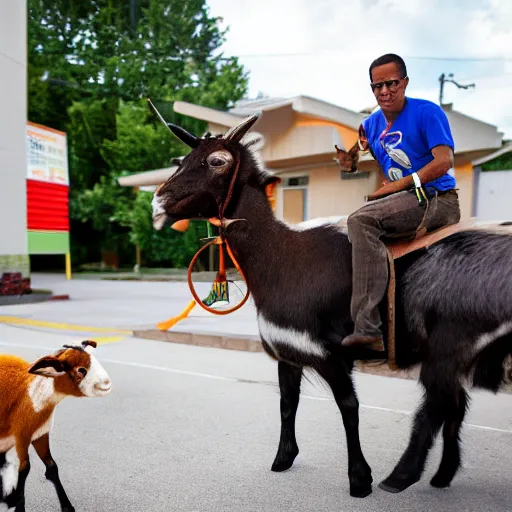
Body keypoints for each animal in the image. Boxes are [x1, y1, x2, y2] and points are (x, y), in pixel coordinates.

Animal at [0, 340, 111, 512]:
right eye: (81, 370)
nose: (106, 383)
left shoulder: (40, 435)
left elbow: (52, 467)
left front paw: (67, 507)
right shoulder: (21, 437)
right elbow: (25, 468)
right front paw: (17, 504)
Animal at [150, 111, 510, 496]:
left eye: (217, 161)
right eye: (182, 160)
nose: (157, 202)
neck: (282, 257)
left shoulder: (331, 354)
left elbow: (348, 407)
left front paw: (359, 479)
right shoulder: (288, 351)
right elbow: (287, 402)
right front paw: (283, 458)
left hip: (449, 344)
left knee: (438, 405)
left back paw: (401, 475)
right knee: (453, 406)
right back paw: (441, 474)